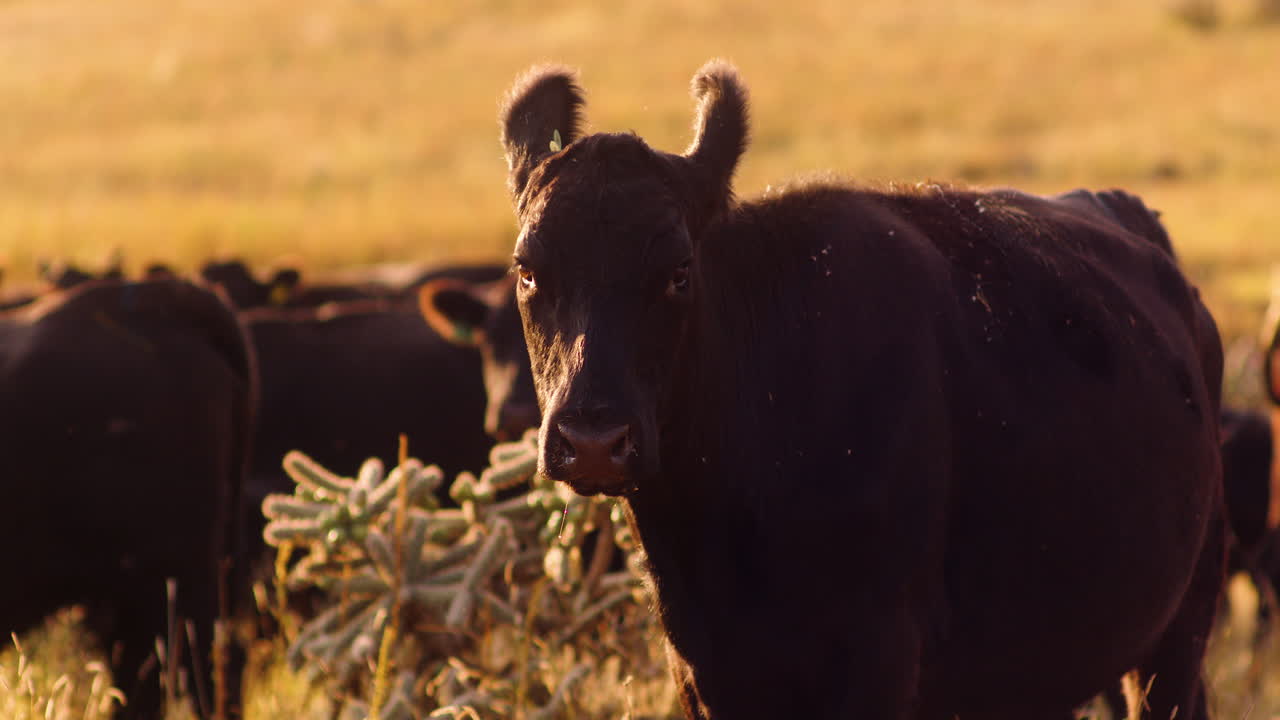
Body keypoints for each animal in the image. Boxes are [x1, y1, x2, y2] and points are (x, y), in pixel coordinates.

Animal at [496, 61, 1225, 719]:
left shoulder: (878, 659)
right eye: (528, 271)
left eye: (678, 271)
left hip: (1180, 632)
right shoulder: (703, 672)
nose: (593, 439)